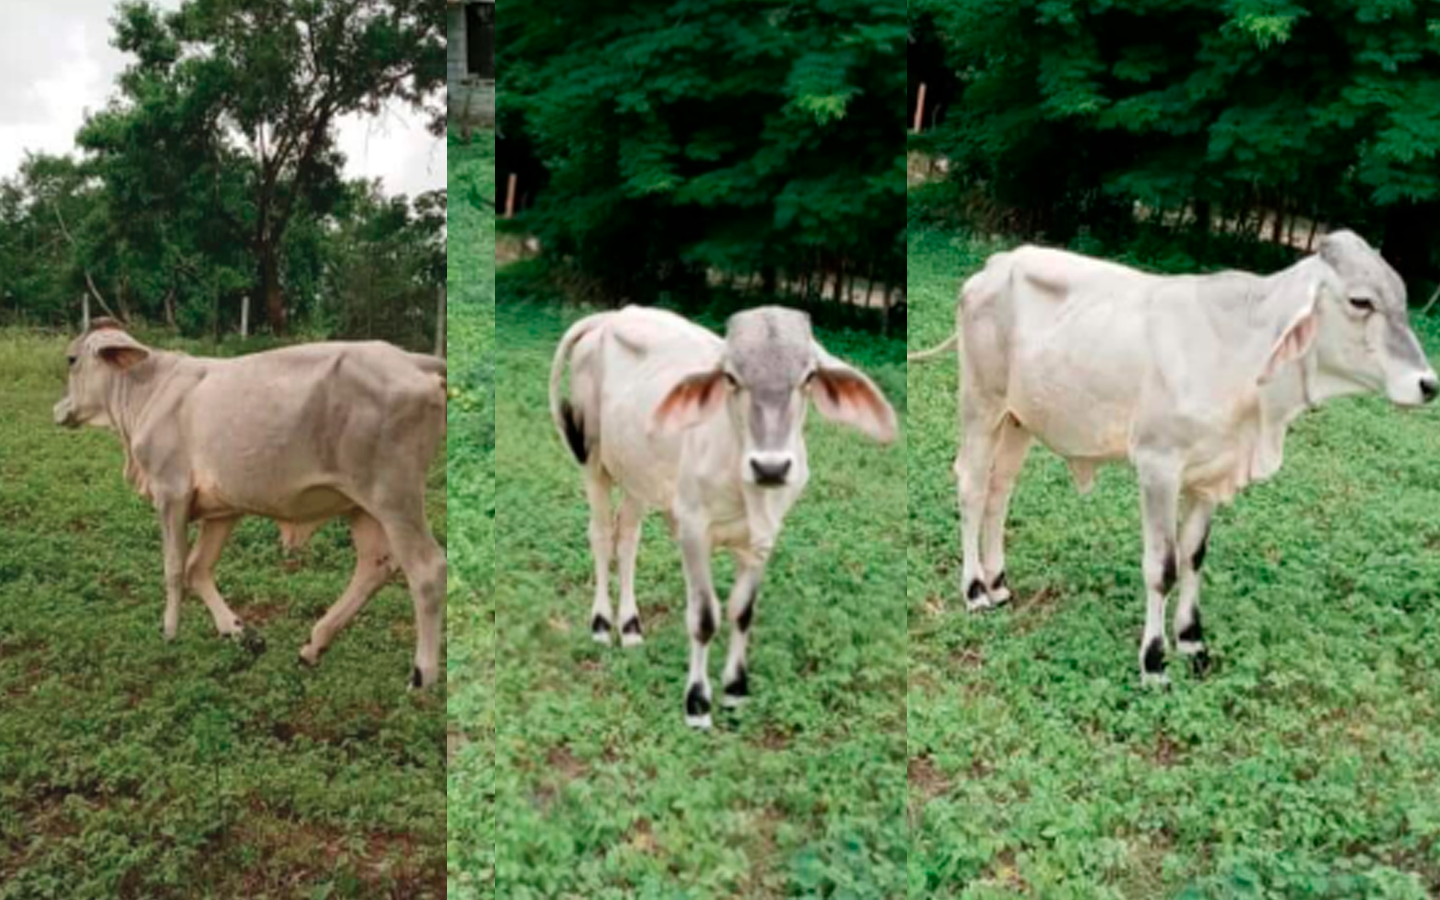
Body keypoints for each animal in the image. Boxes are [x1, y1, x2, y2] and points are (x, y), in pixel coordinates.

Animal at [53, 320, 448, 689]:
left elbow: (174, 568)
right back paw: (313, 646)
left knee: (427, 569)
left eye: (72, 359)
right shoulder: (223, 508)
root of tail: (412, 360)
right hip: (360, 505)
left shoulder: (171, 493)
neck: (149, 389)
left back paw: (422, 675)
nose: (59, 410)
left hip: (395, 498)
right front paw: (240, 632)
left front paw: (169, 631)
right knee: (375, 566)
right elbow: (198, 568)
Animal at [549, 306, 898, 728]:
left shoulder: (763, 538)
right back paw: (602, 624)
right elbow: (704, 618)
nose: (770, 467)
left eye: (809, 377)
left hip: (637, 476)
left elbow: (742, 612)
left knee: (628, 535)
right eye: (731, 377)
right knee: (600, 534)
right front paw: (697, 703)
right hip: (593, 459)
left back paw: (630, 627)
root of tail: (607, 318)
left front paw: (735, 688)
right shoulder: (693, 531)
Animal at [910, 230, 1438, 685]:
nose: (1428, 384)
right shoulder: (1157, 467)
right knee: (972, 485)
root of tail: (996, 265)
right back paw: (975, 590)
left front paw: (1191, 642)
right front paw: (1154, 661)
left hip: (1019, 419)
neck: (1239, 354)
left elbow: (1193, 557)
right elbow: (1162, 567)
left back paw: (999, 582)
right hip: (981, 403)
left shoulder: (1209, 478)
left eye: (1402, 299)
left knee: (1000, 491)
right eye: (1361, 301)